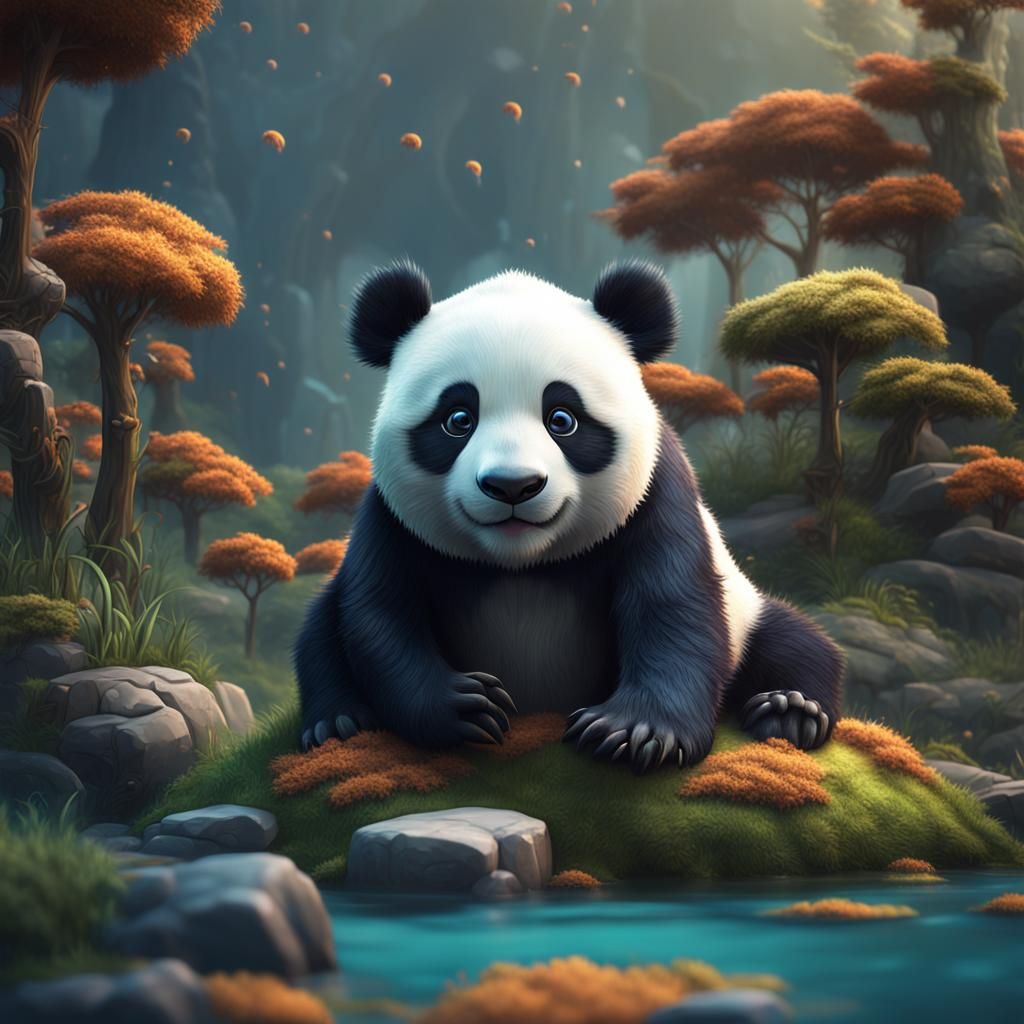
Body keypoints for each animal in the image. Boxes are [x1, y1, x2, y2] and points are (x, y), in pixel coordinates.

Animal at [294, 259, 843, 774]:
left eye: (562, 418)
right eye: (458, 419)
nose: (512, 485)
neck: (522, 563)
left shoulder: (658, 497)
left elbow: (673, 606)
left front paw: (636, 733)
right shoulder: (389, 516)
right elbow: (381, 613)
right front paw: (466, 707)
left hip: (746, 612)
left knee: (794, 642)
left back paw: (790, 710)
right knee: (321, 627)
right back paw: (338, 721)